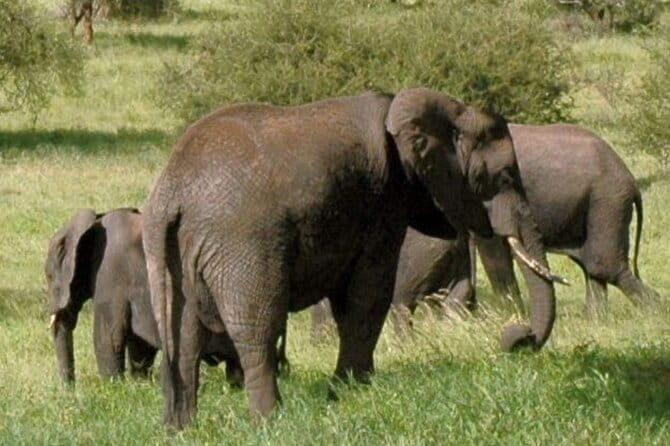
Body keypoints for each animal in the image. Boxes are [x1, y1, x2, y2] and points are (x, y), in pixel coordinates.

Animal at [45, 208, 288, 387]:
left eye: (48, 276)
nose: (71, 390)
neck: (95, 221)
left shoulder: (110, 274)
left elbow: (109, 337)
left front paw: (112, 388)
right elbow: (139, 342)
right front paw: (139, 384)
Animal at [143, 88, 565, 428]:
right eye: (504, 176)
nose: (515, 338)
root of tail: (172, 193)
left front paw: (351, 390)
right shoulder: (383, 201)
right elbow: (369, 293)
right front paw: (352, 393)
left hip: (174, 253)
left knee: (185, 337)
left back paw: (181, 429)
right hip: (243, 245)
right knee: (257, 327)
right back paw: (270, 422)